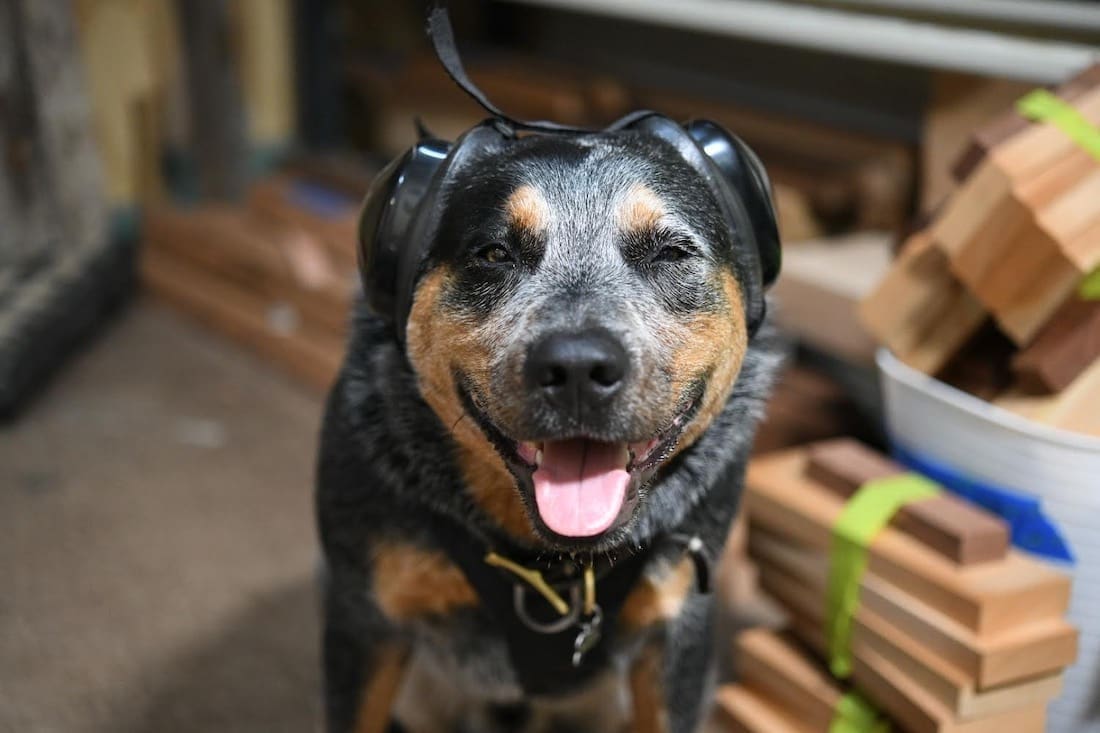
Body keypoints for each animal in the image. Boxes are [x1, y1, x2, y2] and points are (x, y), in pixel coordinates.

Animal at [316, 8, 783, 726]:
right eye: (493, 252)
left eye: (672, 252)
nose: (578, 367)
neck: (560, 567)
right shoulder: (362, 616)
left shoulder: (679, 630)